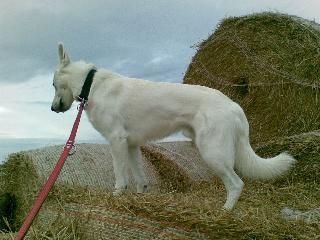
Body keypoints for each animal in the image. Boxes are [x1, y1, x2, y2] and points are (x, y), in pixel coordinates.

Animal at [50, 43, 296, 210]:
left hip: (213, 153)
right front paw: (140, 196)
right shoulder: (131, 145)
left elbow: (120, 175)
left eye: (52, 84)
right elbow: (140, 178)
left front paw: (117, 195)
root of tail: (233, 104)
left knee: (236, 184)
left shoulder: (117, 142)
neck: (91, 84)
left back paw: (225, 211)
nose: (52, 108)